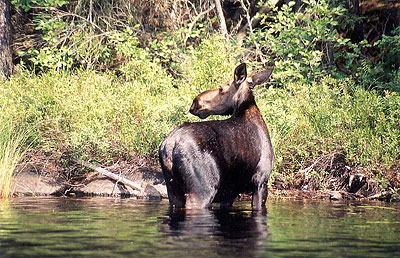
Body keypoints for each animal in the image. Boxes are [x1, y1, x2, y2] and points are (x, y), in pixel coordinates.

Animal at [159, 63, 276, 210]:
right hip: (202, 189)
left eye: (221, 88)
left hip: (173, 189)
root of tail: (168, 146)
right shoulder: (260, 181)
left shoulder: (230, 193)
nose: (195, 103)